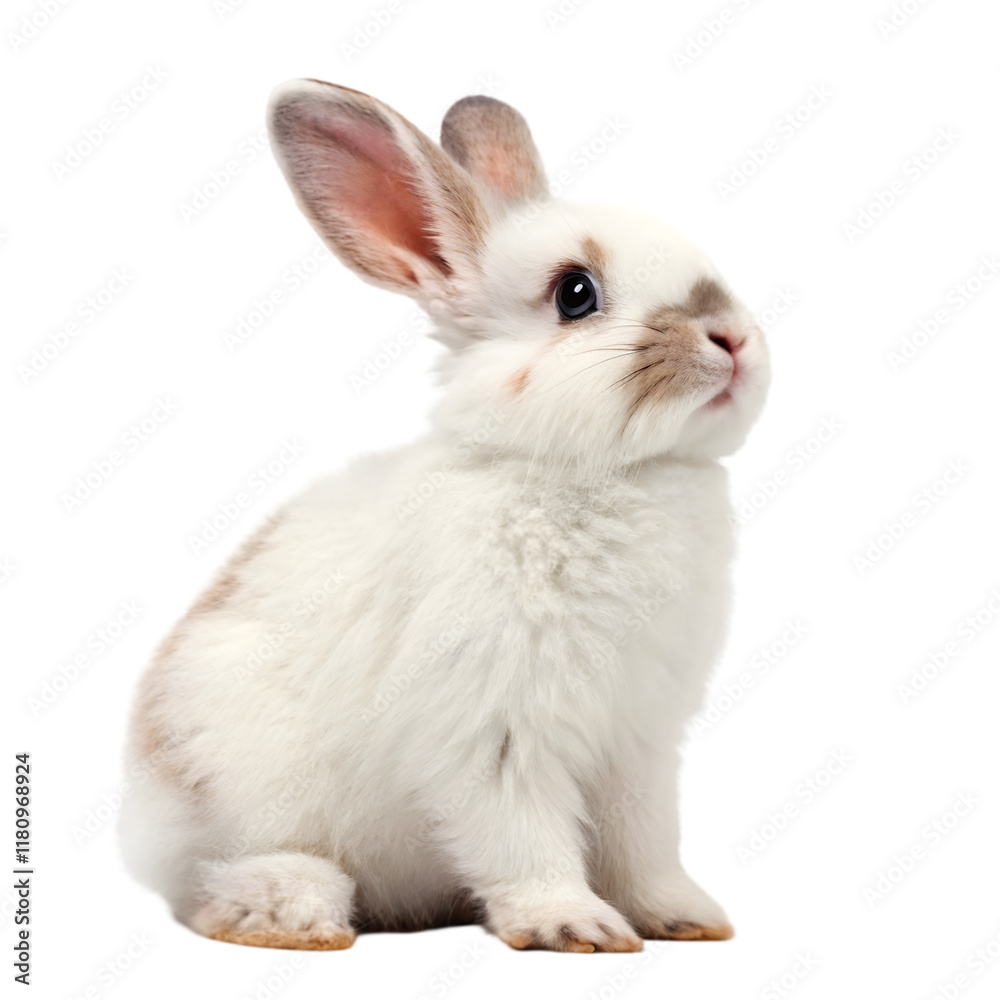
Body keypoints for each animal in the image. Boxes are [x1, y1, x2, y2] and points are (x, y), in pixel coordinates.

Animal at [118, 79, 770, 954]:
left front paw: (684, 917)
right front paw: (572, 925)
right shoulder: (493, 730)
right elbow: (524, 836)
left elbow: (645, 843)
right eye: (575, 294)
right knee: (212, 884)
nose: (731, 337)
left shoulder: (639, 745)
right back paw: (293, 911)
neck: (599, 475)